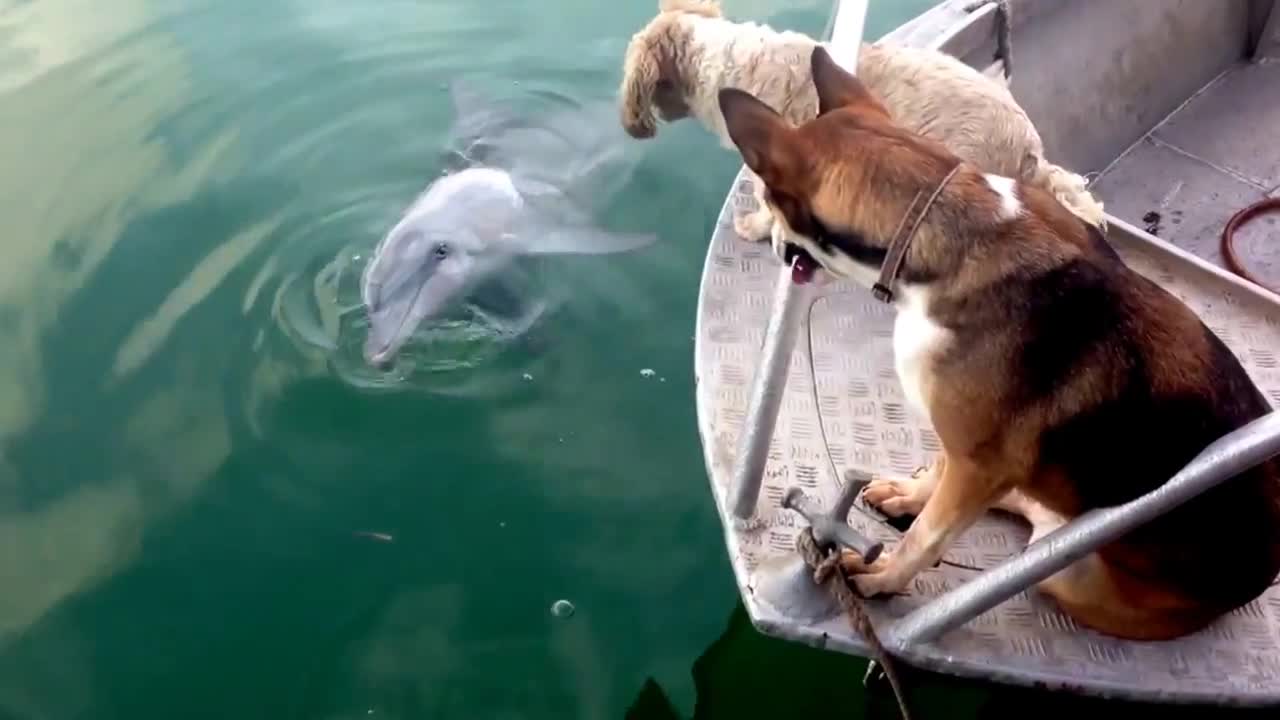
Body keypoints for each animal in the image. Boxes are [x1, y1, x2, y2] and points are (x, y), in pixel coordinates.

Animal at [721, 44, 1280, 638]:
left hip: (1065, 573)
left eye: (771, 202)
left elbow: (927, 537)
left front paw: (885, 579)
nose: (770, 244)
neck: (938, 231)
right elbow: (940, 480)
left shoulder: (977, 460)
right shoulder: (966, 450)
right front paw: (912, 496)